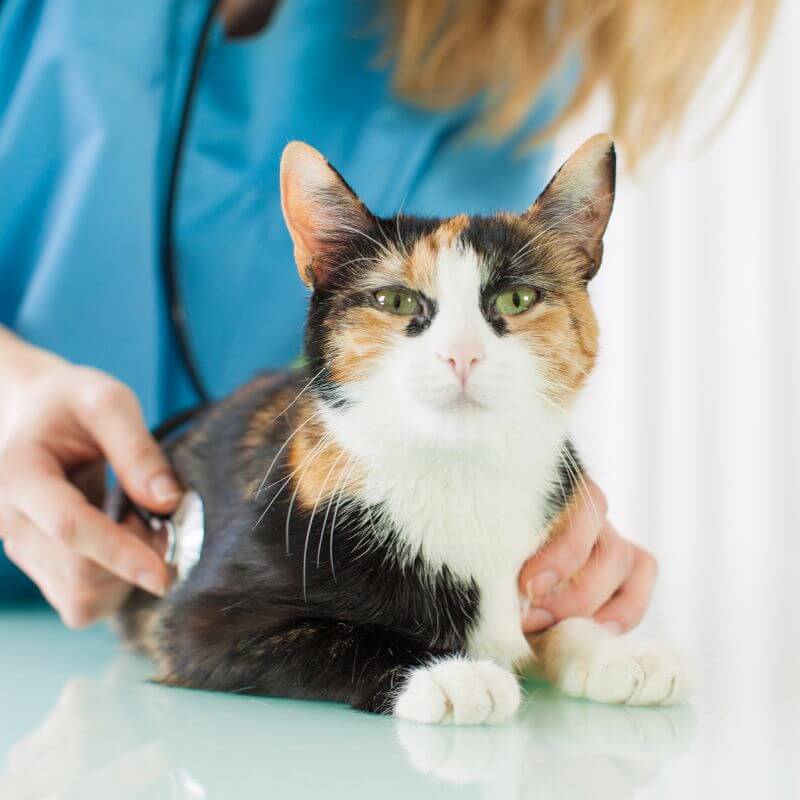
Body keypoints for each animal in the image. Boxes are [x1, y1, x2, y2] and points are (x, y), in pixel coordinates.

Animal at [117, 136, 688, 724]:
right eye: (395, 301)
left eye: (516, 299)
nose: (462, 353)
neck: (460, 472)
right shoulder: (200, 621)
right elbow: (341, 636)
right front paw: (451, 672)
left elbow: (556, 617)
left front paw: (612, 649)